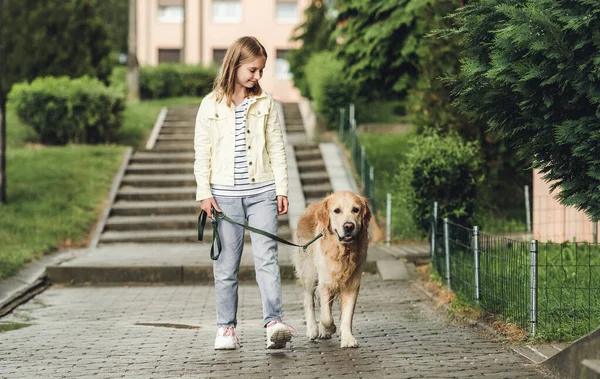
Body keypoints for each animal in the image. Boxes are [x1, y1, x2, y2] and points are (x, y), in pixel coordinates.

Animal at [292, 191, 370, 348]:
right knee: (309, 300)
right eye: (337, 210)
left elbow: (347, 315)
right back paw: (313, 330)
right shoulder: (325, 282)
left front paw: (347, 338)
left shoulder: (352, 284)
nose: (349, 226)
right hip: (310, 272)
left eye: (356, 210)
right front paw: (330, 328)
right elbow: (326, 317)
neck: (343, 251)